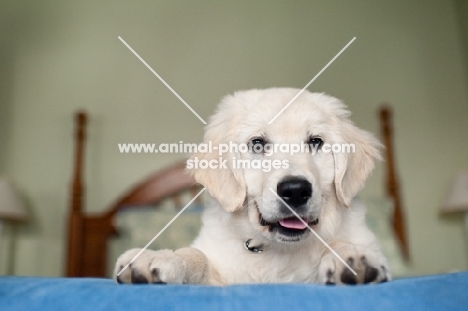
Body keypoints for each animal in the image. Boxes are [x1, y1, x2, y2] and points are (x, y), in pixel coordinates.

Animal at [114, 89, 392, 286]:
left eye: (315, 142)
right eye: (257, 143)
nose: (295, 190)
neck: (278, 250)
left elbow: (337, 245)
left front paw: (352, 258)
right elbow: (196, 256)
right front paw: (160, 257)